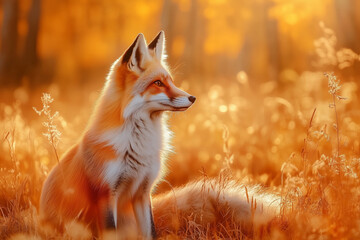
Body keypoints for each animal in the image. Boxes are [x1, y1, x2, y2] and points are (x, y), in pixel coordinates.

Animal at [39, 31, 195, 238]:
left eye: (171, 81)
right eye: (158, 83)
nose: (193, 98)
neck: (135, 144)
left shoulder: (142, 193)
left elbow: (150, 233)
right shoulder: (105, 194)